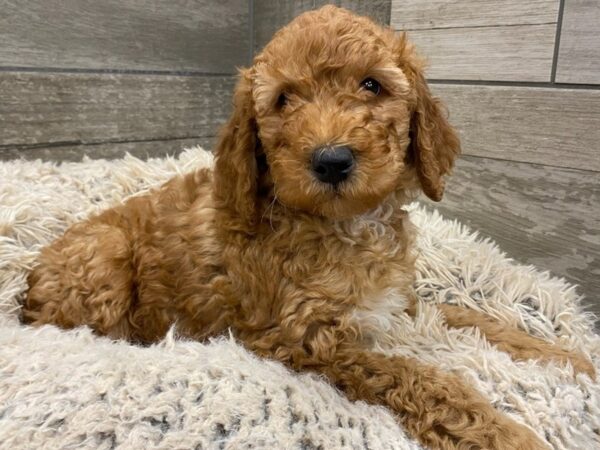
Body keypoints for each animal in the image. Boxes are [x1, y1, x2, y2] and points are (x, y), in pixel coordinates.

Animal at [22, 6, 592, 450]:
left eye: (371, 85)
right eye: (284, 100)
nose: (332, 160)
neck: (346, 225)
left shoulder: (400, 303)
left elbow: (471, 316)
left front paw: (568, 358)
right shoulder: (301, 343)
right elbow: (416, 375)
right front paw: (504, 432)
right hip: (105, 256)